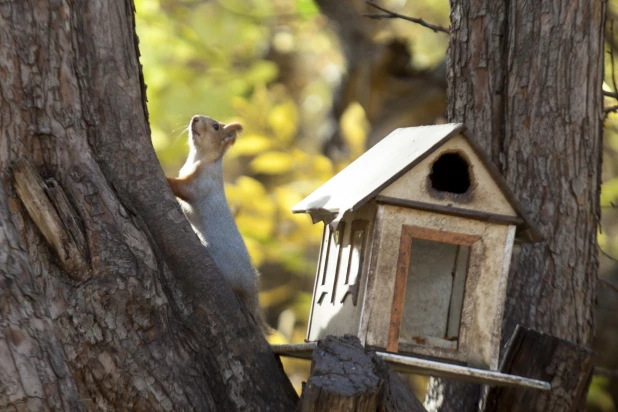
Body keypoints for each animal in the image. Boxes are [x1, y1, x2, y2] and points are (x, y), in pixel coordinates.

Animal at [165, 114, 268, 334]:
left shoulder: (198, 184)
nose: (195, 118)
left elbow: (181, 187)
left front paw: (164, 176)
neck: (199, 157)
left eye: (215, 127)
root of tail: (250, 286)